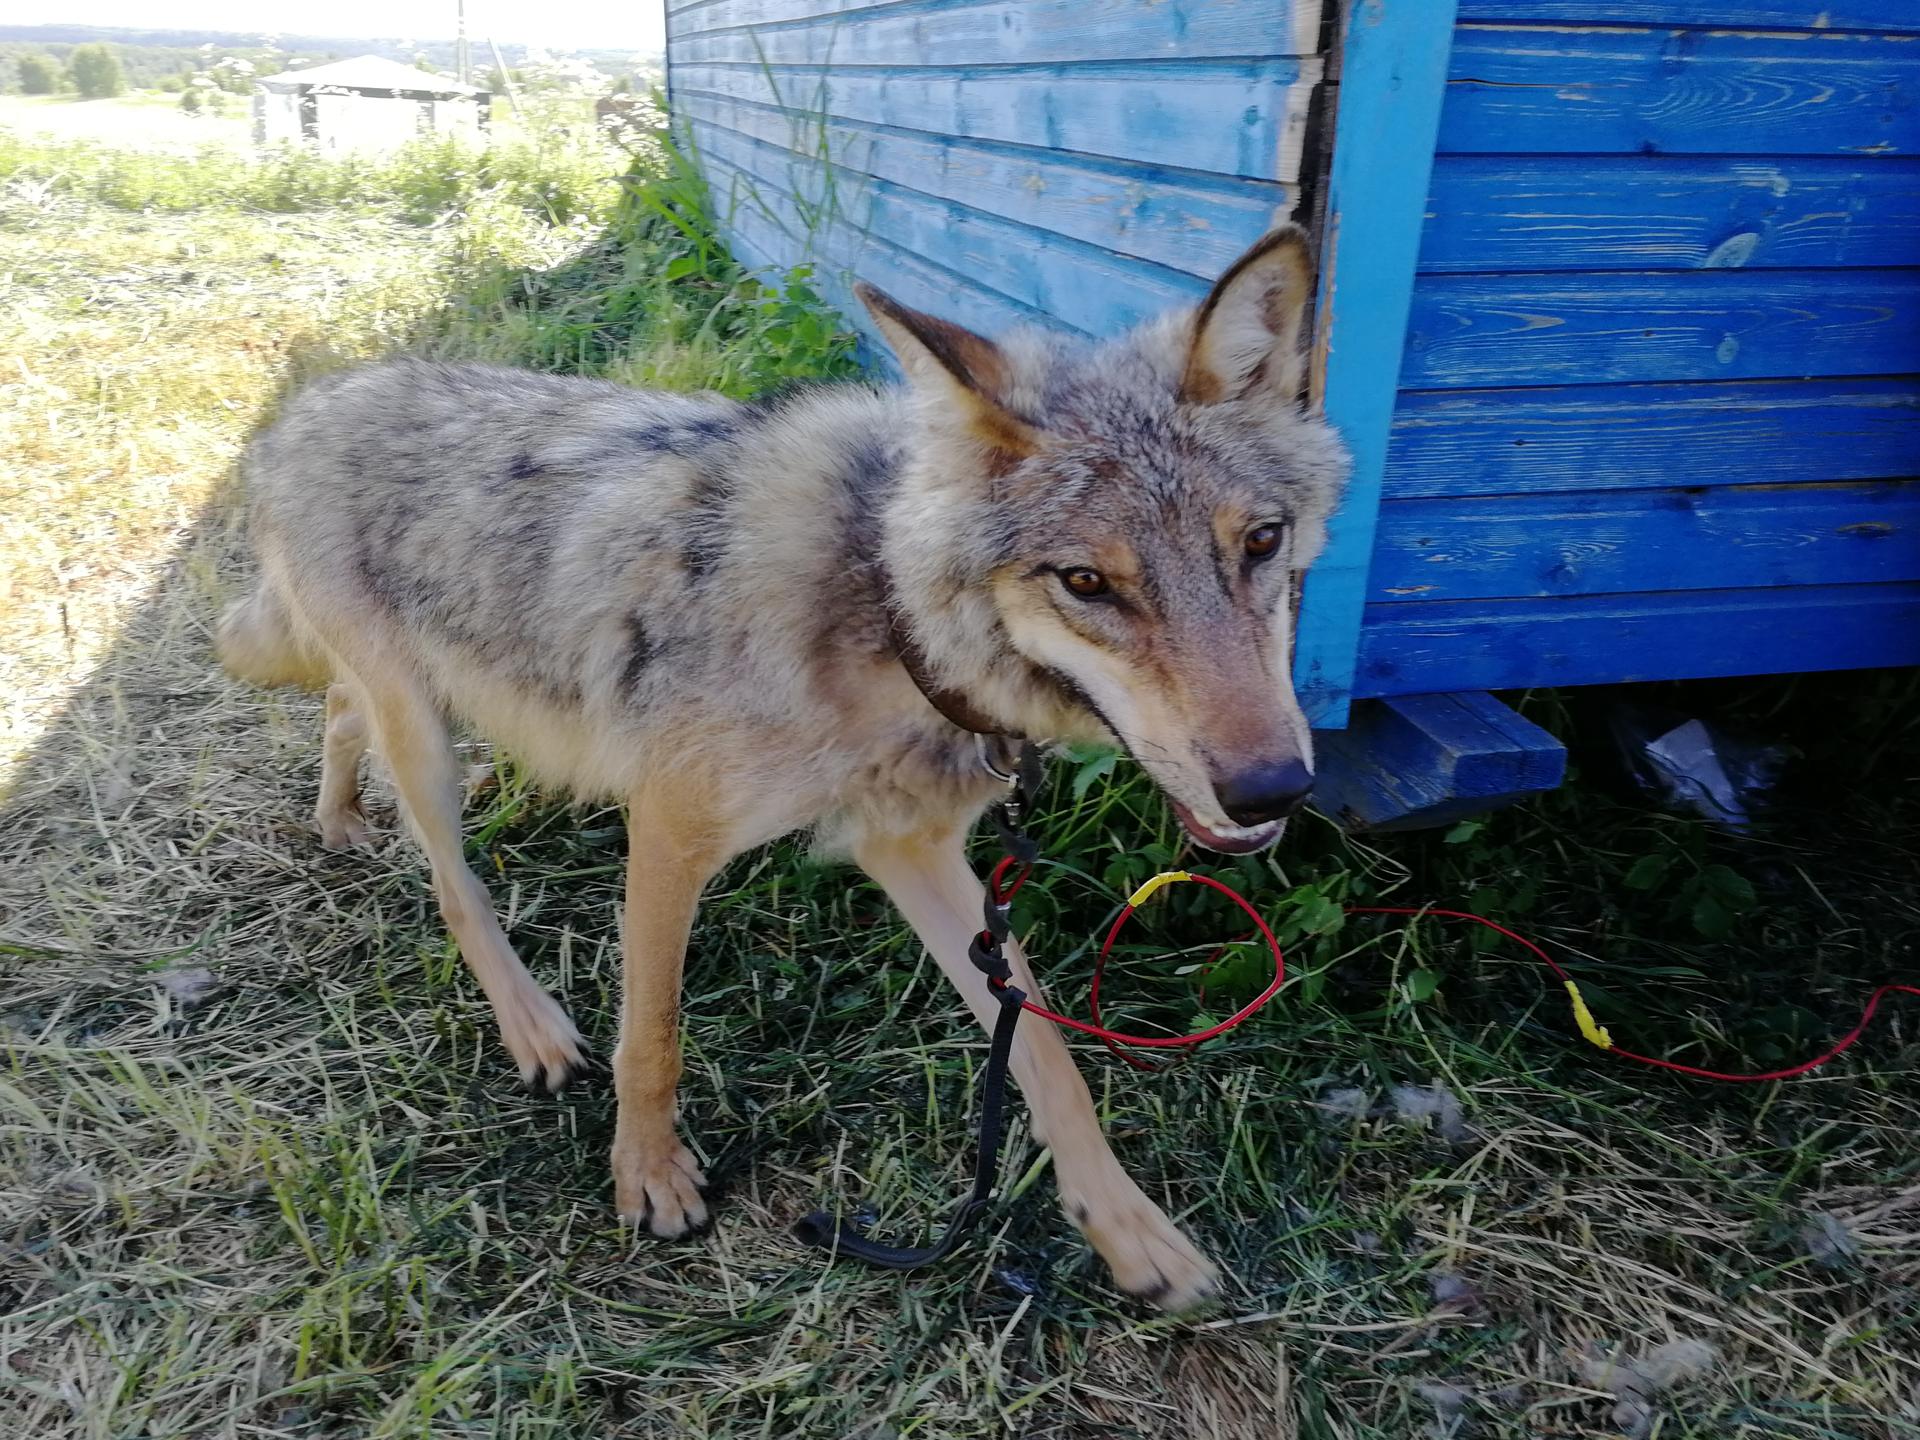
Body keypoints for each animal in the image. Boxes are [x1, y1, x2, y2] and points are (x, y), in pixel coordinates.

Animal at [214, 222, 1351, 1305]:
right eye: (1086, 582)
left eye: (1260, 542)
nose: (1275, 789)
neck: (882, 617)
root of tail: (308, 405)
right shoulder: (670, 831)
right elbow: (652, 1035)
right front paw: (649, 1176)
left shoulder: (916, 854)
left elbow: (1044, 1050)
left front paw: (1128, 1233)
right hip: (428, 740)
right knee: (453, 883)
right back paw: (533, 1028)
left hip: (410, 705)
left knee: (337, 708)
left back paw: (341, 819)